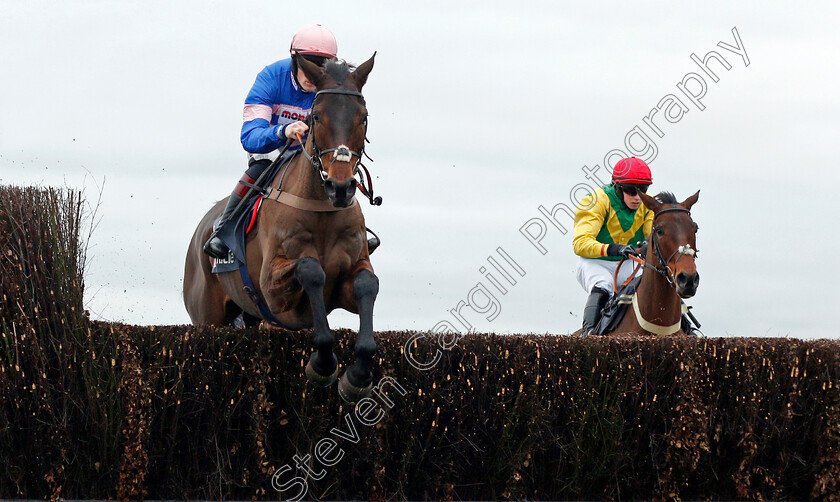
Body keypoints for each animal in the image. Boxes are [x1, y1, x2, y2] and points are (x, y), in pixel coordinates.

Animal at [186, 54, 380, 404]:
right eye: (316, 116)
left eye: (364, 116)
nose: (341, 187)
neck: (321, 210)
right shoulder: (273, 291)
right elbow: (311, 269)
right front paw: (323, 364)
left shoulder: (350, 274)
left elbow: (367, 284)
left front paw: (357, 375)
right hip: (207, 317)